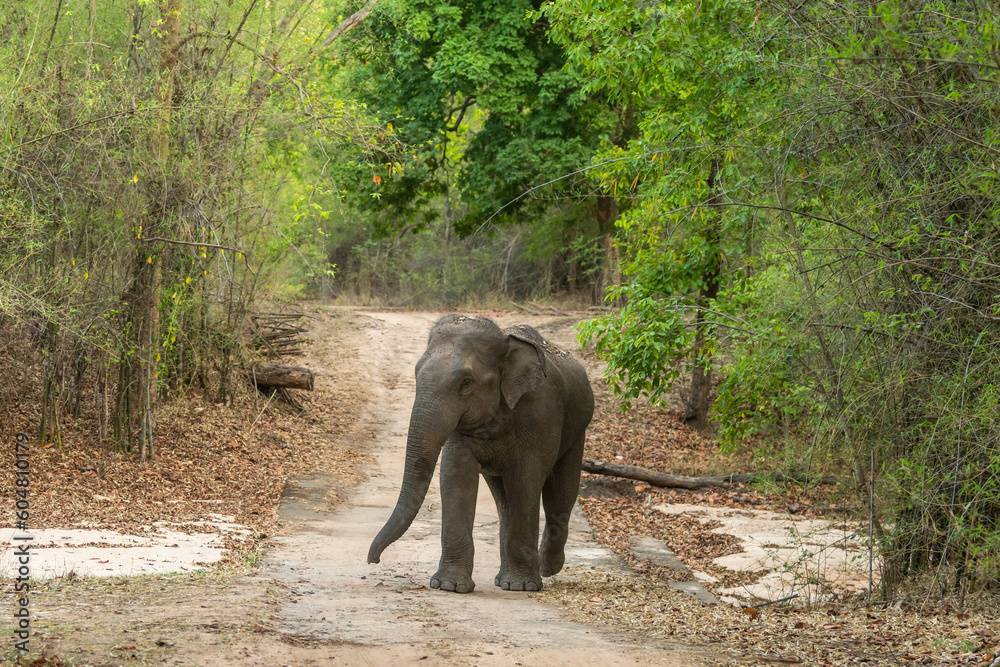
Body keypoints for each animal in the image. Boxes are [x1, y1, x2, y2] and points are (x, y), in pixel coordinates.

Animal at [367, 314, 594, 593]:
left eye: (466, 382)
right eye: (416, 374)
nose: (373, 560)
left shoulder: (541, 414)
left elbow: (525, 480)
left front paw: (522, 586)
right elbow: (456, 475)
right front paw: (449, 585)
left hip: (578, 428)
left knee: (561, 491)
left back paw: (545, 569)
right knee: (504, 500)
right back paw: (503, 578)